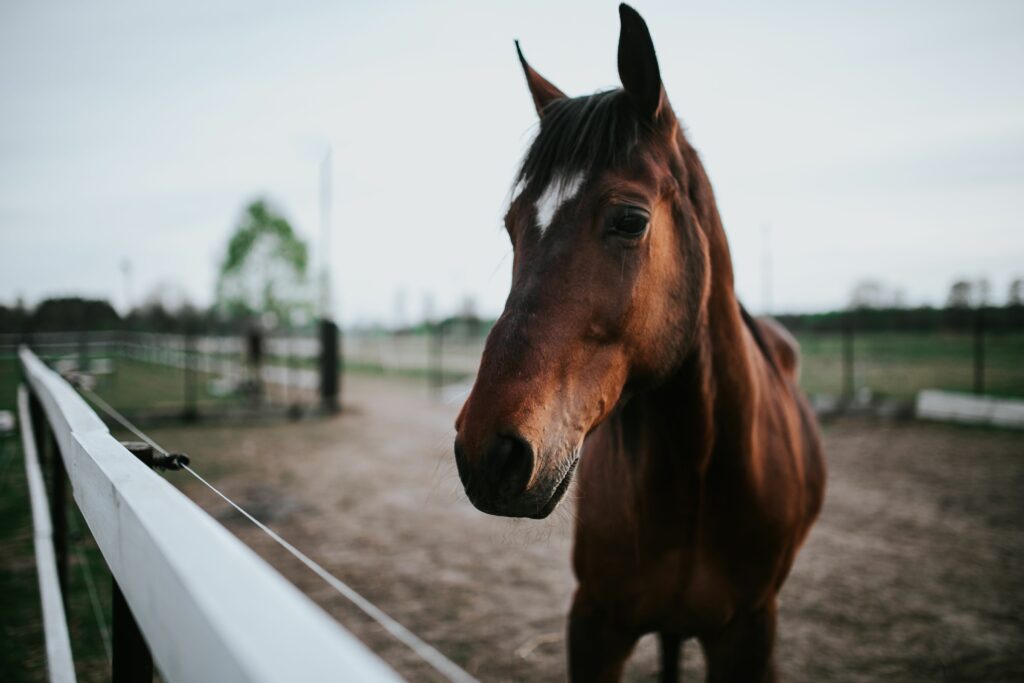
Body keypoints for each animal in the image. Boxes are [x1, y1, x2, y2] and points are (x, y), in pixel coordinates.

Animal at [453, 5, 826, 681]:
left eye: (630, 220)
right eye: (512, 225)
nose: (488, 453)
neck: (697, 470)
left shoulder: (750, 630)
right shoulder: (596, 623)